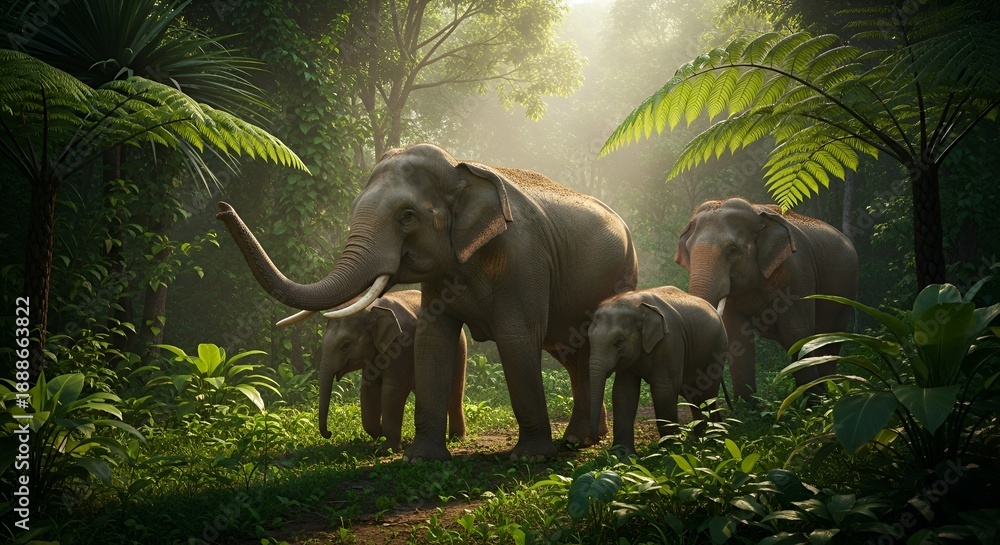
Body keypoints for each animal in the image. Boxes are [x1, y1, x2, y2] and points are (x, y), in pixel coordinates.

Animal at [317, 289, 466, 453]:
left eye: (345, 345)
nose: (329, 433)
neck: (371, 308)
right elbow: (369, 388)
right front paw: (381, 433)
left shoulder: (402, 344)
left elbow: (393, 388)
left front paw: (387, 448)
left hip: (460, 347)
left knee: (455, 392)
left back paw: (456, 438)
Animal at [588, 286, 728, 456]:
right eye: (589, 339)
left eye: (619, 341)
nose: (593, 439)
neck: (636, 304)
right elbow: (623, 392)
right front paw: (622, 455)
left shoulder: (670, 340)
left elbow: (663, 390)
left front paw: (670, 451)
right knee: (694, 395)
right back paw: (702, 438)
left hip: (718, 348)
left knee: (707, 393)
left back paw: (713, 439)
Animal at [675, 197, 858, 400]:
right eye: (689, 250)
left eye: (732, 251)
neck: (757, 215)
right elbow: (737, 337)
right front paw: (745, 406)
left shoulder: (796, 272)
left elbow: (797, 333)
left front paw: (814, 402)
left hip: (847, 293)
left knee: (830, 341)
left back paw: (829, 395)